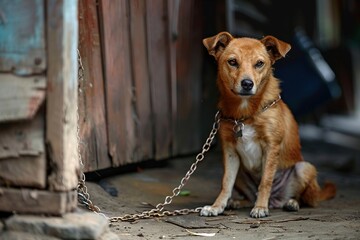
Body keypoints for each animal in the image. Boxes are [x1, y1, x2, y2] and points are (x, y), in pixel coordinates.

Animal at [201, 31, 336, 218]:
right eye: (232, 62)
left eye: (259, 63)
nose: (247, 84)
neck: (245, 114)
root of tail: (275, 201)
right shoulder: (230, 151)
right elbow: (226, 183)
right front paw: (217, 206)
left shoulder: (271, 147)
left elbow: (265, 181)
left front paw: (260, 207)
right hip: (241, 173)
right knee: (249, 194)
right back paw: (238, 202)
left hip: (305, 168)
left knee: (305, 199)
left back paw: (290, 203)